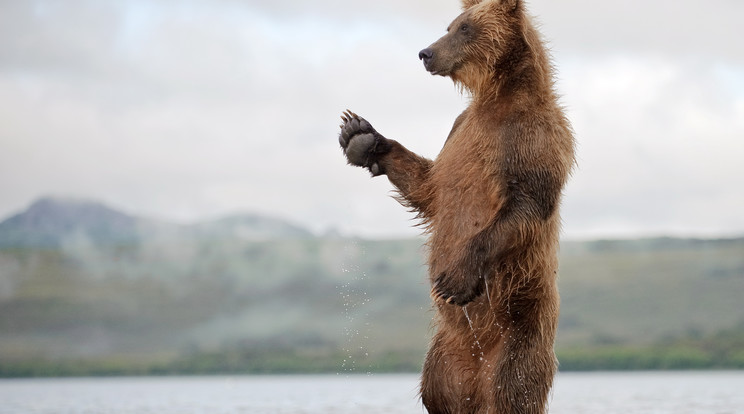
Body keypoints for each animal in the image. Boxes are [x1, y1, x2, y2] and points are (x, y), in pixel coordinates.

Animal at [338, 0, 576, 414]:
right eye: (449, 25)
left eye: (465, 28)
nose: (426, 52)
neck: (500, 98)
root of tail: (477, 374)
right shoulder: (459, 133)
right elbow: (429, 188)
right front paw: (361, 136)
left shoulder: (534, 139)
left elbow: (525, 206)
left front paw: (456, 279)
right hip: (443, 358)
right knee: (438, 394)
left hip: (519, 329)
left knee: (514, 390)